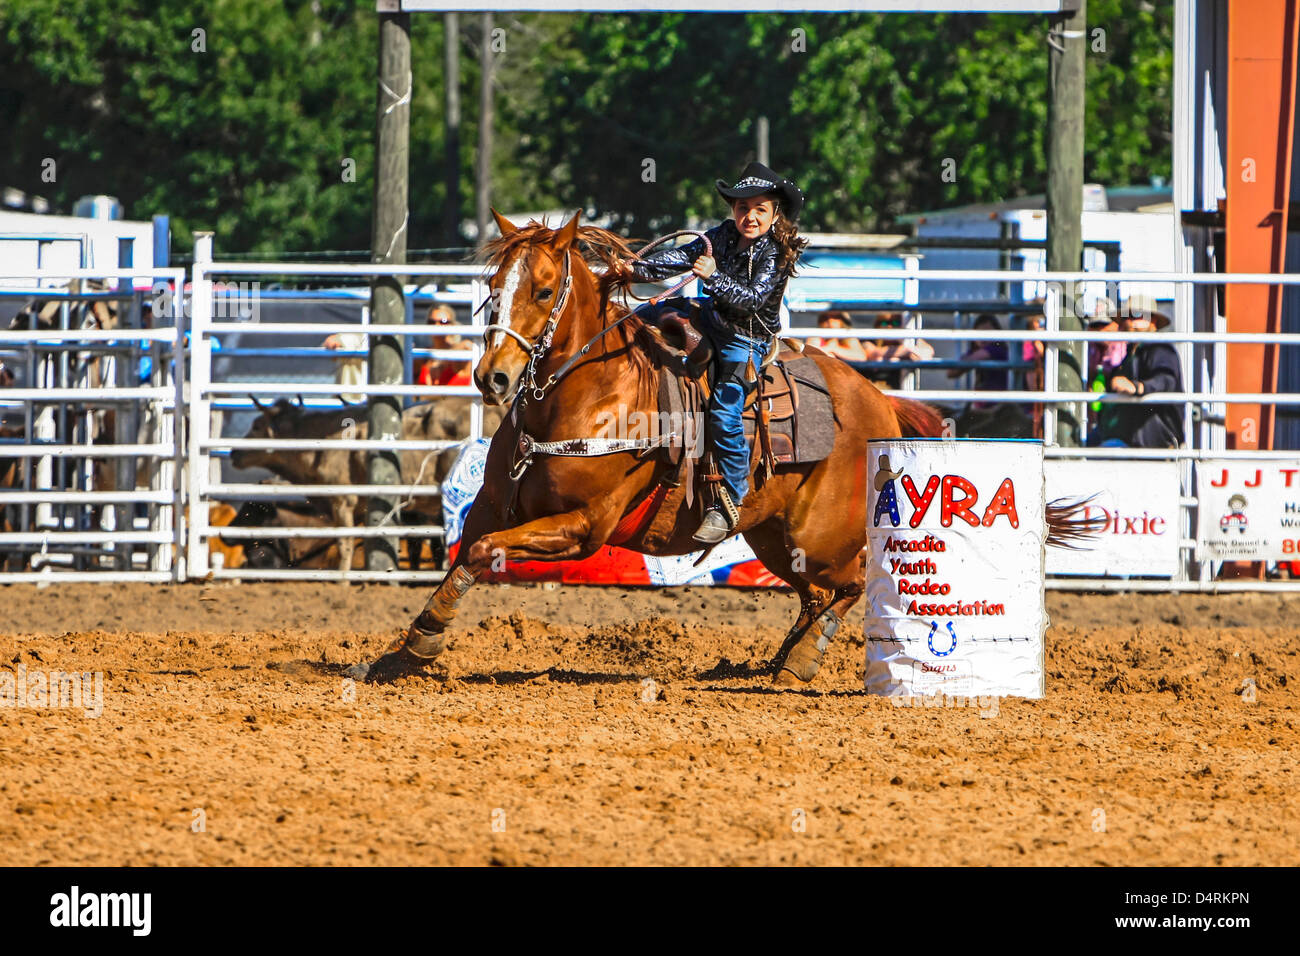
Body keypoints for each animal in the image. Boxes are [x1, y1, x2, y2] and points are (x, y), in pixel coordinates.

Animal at [351, 209, 951, 686]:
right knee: (815, 595)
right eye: (495, 285)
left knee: (849, 583)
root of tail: (879, 399)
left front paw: (425, 641)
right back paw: (779, 661)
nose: (491, 377)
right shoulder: (489, 507)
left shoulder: (584, 528)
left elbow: (480, 552)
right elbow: (465, 555)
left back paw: (799, 662)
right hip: (774, 537)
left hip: (819, 536)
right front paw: (403, 650)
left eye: (543, 291)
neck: (586, 395)